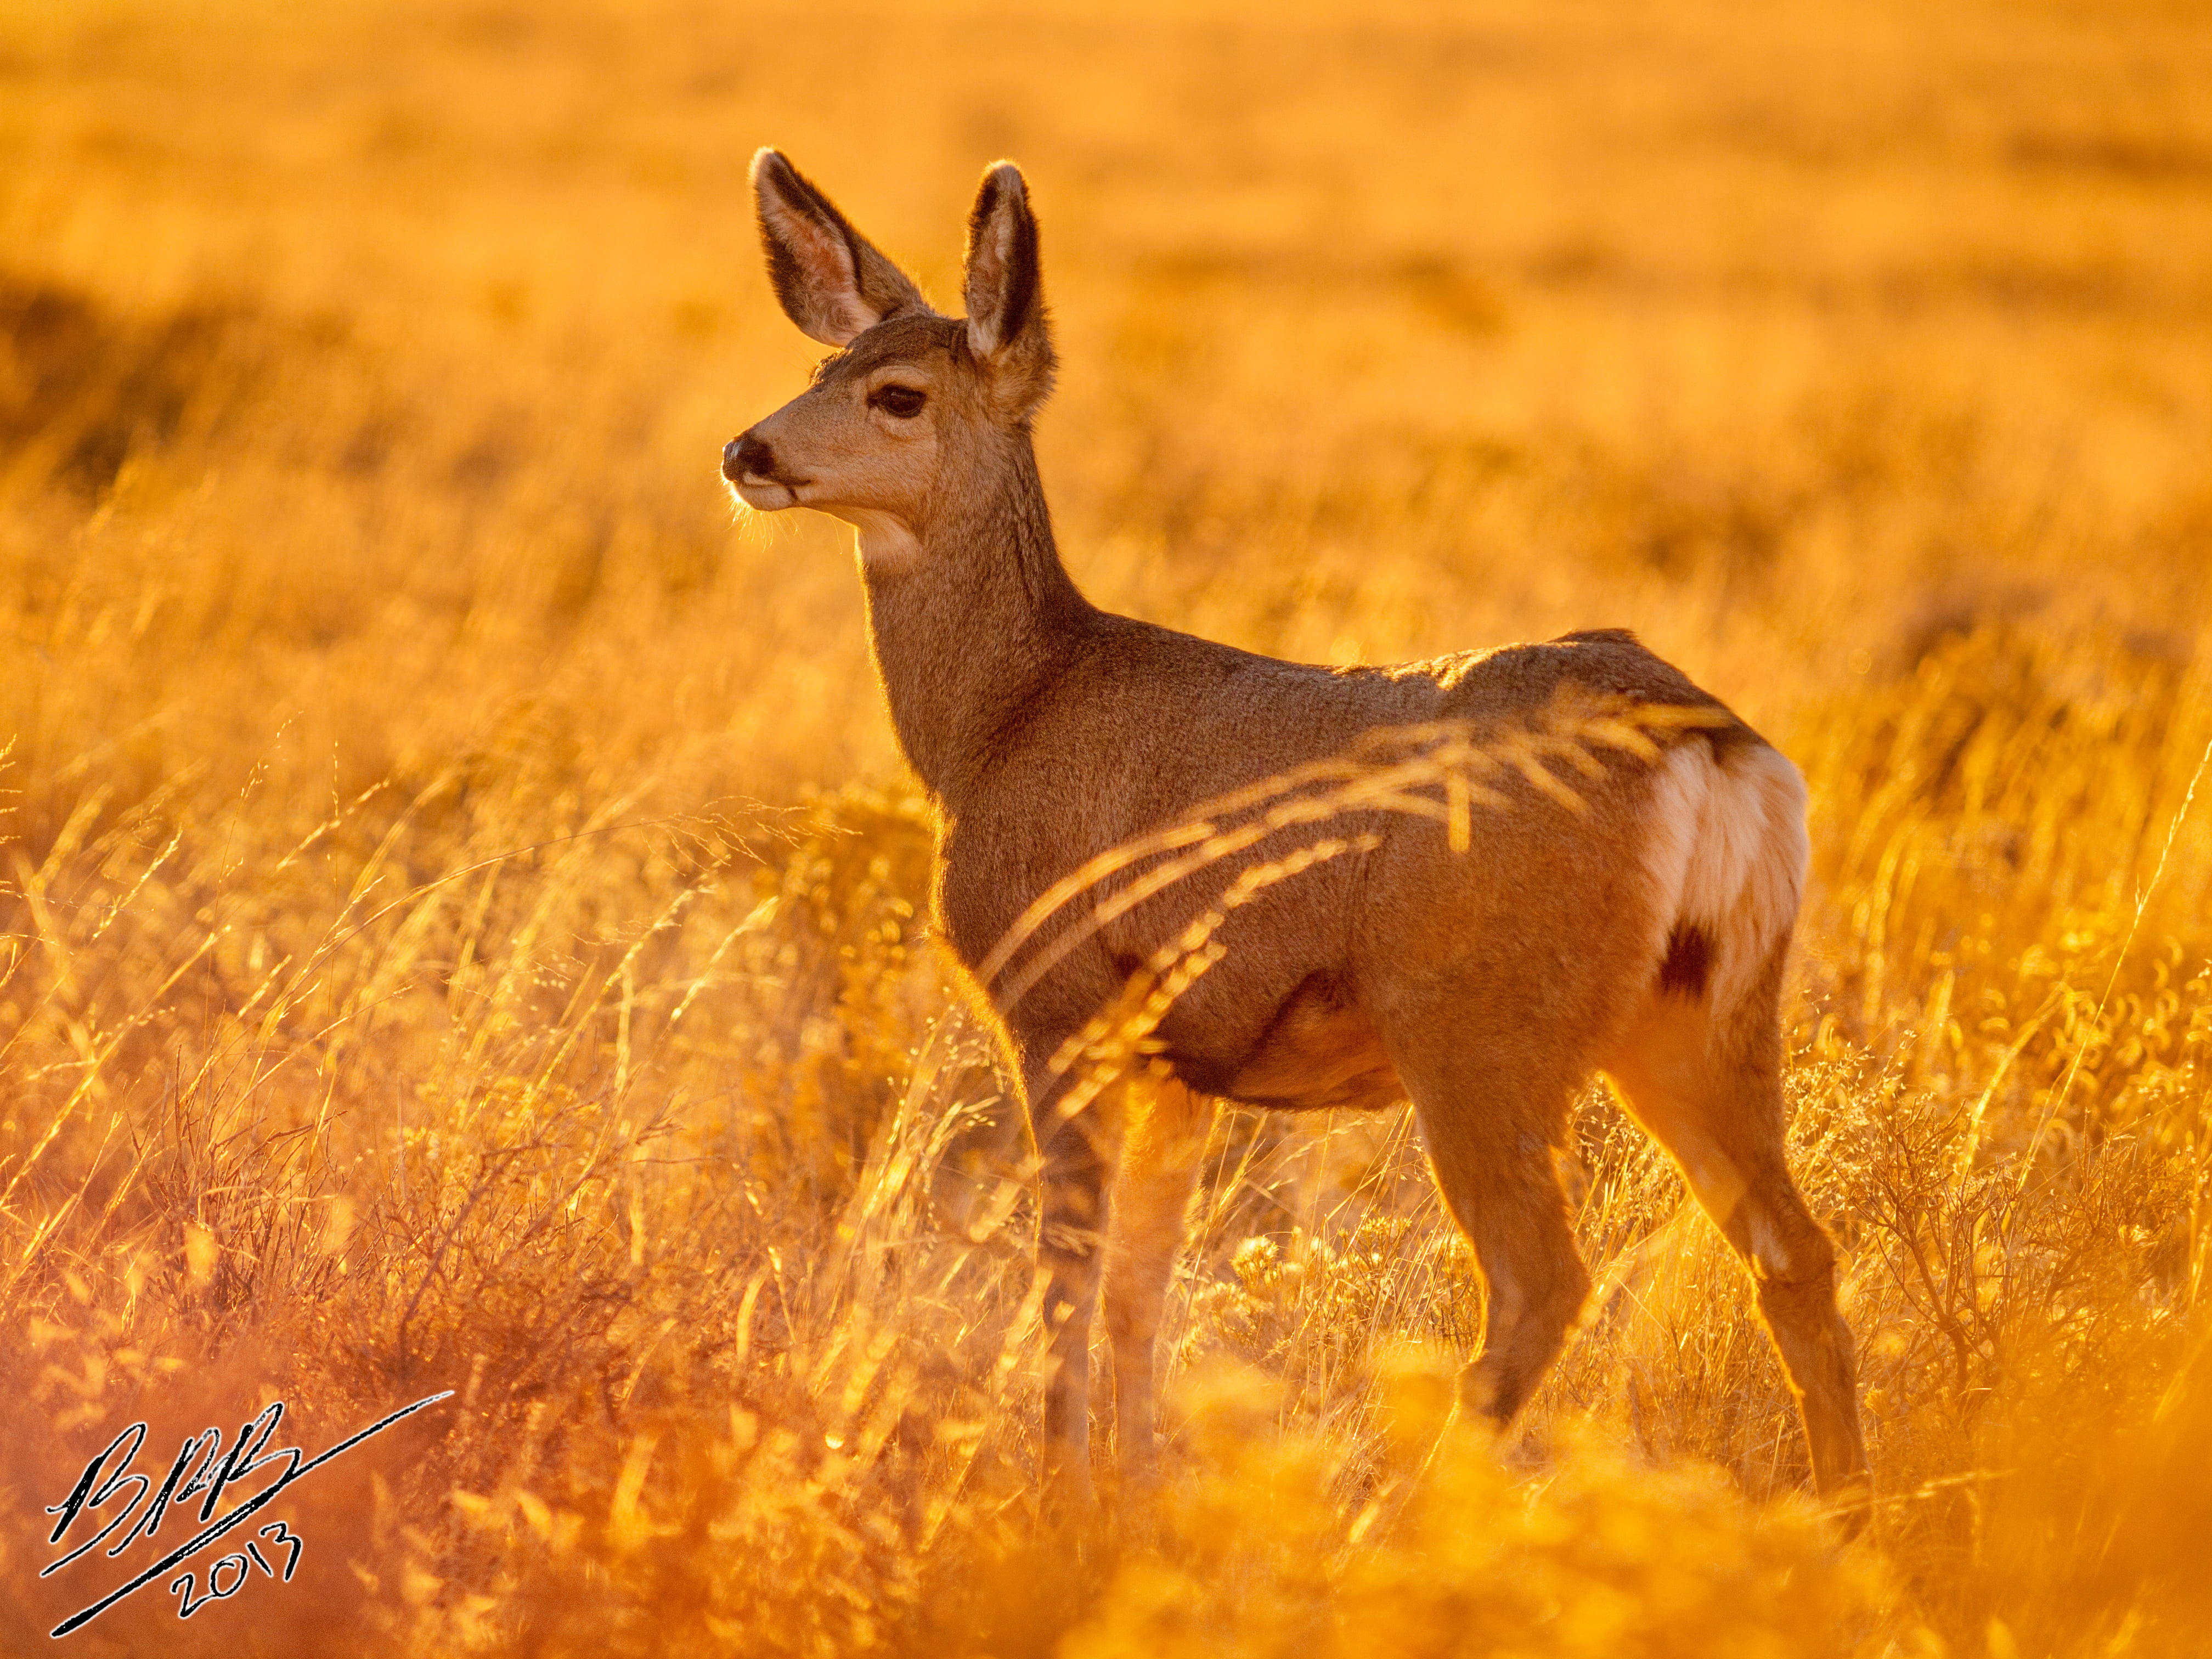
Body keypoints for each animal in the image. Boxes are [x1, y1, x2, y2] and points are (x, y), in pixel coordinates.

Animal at [725, 149, 1867, 1531]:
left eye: (897, 395)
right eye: (820, 364)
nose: (748, 450)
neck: (1006, 713)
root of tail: (1713, 744)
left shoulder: (1059, 999)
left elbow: (1068, 1270)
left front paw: (1057, 1495)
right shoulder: (1177, 1056)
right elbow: (1141, 1287)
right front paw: (1136, 1491)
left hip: (1480, 1022)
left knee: (1545, 1279)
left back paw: (1386, 1519)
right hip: (1704, 1011)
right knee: (1794, 1251)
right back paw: (1851, 1520)